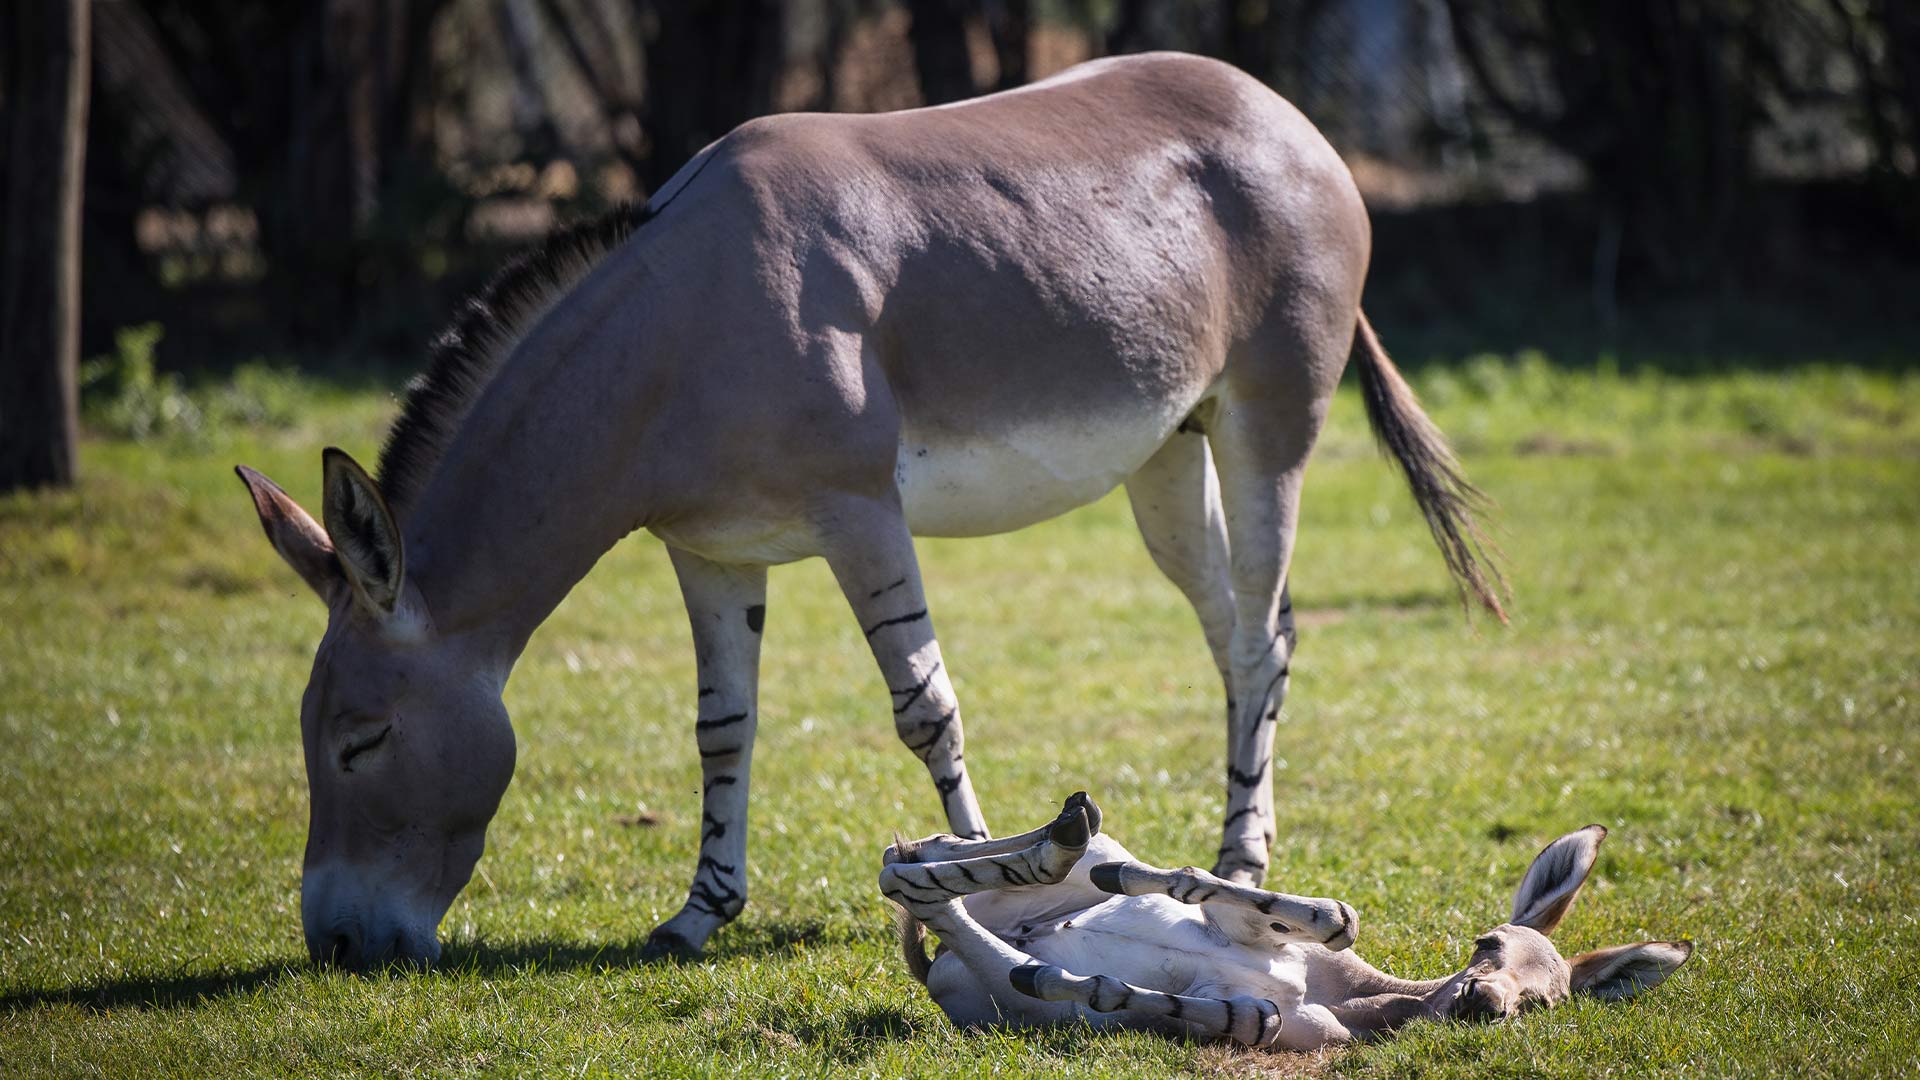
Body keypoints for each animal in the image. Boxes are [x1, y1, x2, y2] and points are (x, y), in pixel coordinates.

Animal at [236, 50, 1497, 960]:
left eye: (361, 739)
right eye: (308, 734)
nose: (336, 948)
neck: (682, 331)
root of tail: (1285, 114)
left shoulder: (860, 514)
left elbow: (925, 710)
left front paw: (992, 878)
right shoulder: (710, 550)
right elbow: (722, 726)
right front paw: (700, 912)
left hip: (1267, 430)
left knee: (1260, 634)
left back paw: (1238, 866)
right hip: (1164, 458)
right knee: (1238, 626)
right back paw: (1246, 852)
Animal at [879, 791, 1689, 1045]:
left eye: (1544, 1001)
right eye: (1485, 942)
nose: (1483, 1001)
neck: (1340, 994)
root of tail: (935, 971)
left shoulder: (1299, 1030)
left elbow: (1241, 1016)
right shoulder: (1243, 927)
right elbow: (1332, 915)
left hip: (981, 972)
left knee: (923, 892)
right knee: (924, 863)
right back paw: (1067, 837)